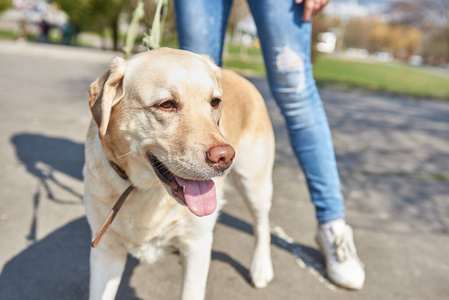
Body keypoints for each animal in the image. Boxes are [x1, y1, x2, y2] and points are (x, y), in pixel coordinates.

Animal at [82, 48, 274, 298]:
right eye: (166, 104)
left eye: (215, 102)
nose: (224, 157)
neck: (143, 190)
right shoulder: (106, 252)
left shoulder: (197, 244)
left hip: (255, 184)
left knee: (262, 223)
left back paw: (261, 268)